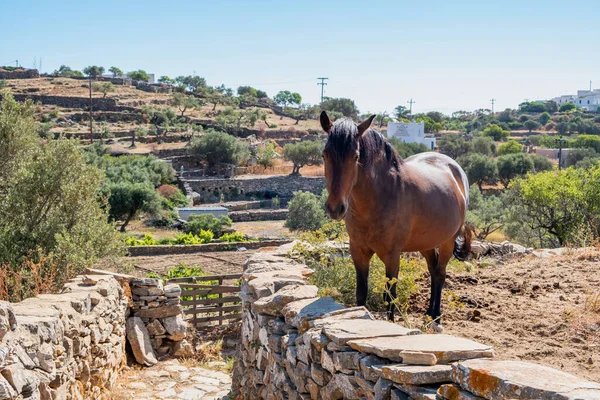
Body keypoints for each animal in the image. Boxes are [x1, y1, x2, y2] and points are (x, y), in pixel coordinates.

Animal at [322, 111, 472, 322]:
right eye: (324, 155)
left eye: (355, 156)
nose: (335, 208)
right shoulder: (358, 252)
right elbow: (361, 293)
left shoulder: (392, 256)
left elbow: (390, 296)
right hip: (425, 243)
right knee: (433, 271)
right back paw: (429, 313)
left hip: (447, 241)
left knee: (441, 273)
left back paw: (436, 316)